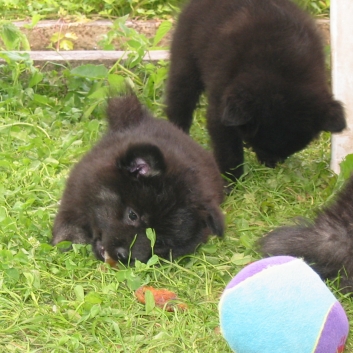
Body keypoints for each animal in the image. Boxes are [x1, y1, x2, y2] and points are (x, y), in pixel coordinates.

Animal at [166, 0, 346, 179]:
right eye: (261, 145)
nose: (272, 166)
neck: (282, 68)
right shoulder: (221, 106)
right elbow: (229, 150)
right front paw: (232, 181)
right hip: (185, 63)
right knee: (180, 103)